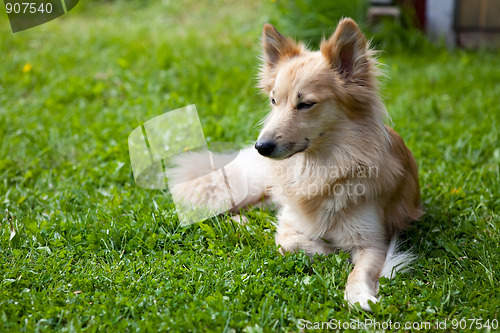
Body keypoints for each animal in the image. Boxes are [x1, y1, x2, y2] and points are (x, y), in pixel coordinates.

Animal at [168, 18, 422, 310]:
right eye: (273, 101)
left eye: (306, 104)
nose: (261, 147)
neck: (318, 169)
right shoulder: (289, 221)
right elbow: (287, 240)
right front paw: (327, 249)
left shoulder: (374, 242)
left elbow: (360, 271)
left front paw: (358, 295)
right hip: (248, 188)